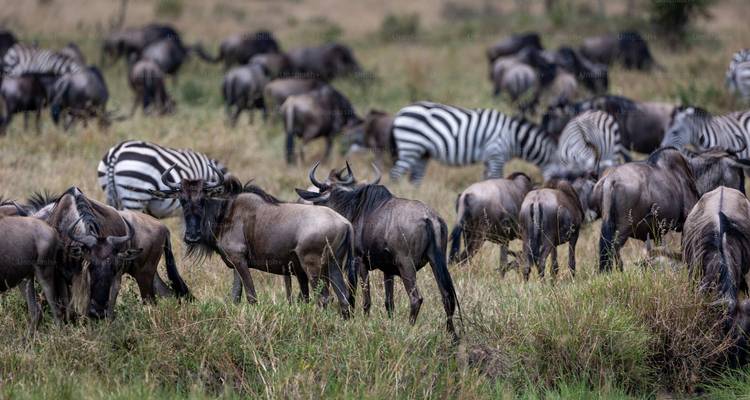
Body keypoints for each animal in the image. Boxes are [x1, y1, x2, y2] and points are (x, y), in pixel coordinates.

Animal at [389, 101, 558, 184]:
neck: (514, 136)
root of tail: (401, 112)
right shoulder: (497, 154)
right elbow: (496, 177)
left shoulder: (489, 158)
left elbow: (487, 179)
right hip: (410, 145)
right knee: (395, 174)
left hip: (422, 153)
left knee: (415, 179)